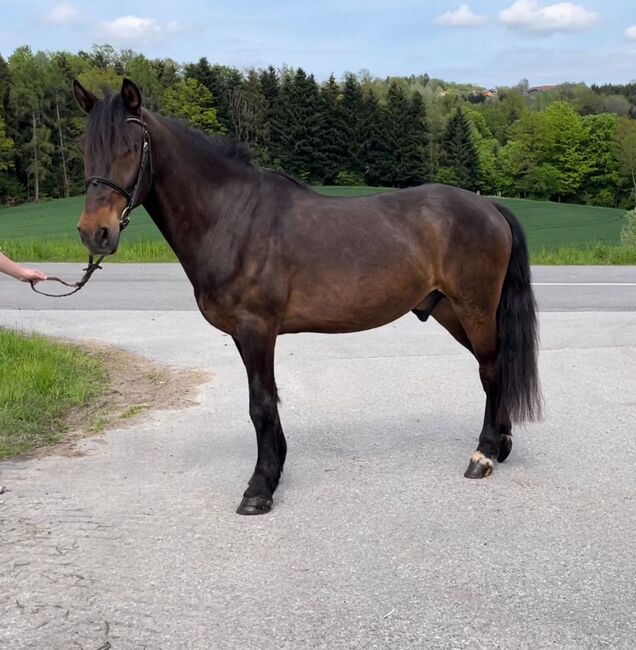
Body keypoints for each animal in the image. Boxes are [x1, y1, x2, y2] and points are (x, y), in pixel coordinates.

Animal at [73, 79, 540, 512]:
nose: (95, 233)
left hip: (474, 307)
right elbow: (268, 401)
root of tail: (489, 206)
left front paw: (259, 489)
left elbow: (260, 404)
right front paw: (275, 470)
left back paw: (483, 455)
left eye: (130, 149)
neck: (233, 218)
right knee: (494, 368)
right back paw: (501, 442)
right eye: (86, 149)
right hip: (449, 311)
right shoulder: (244, 335)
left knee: (491, 370)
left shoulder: (257, 328)